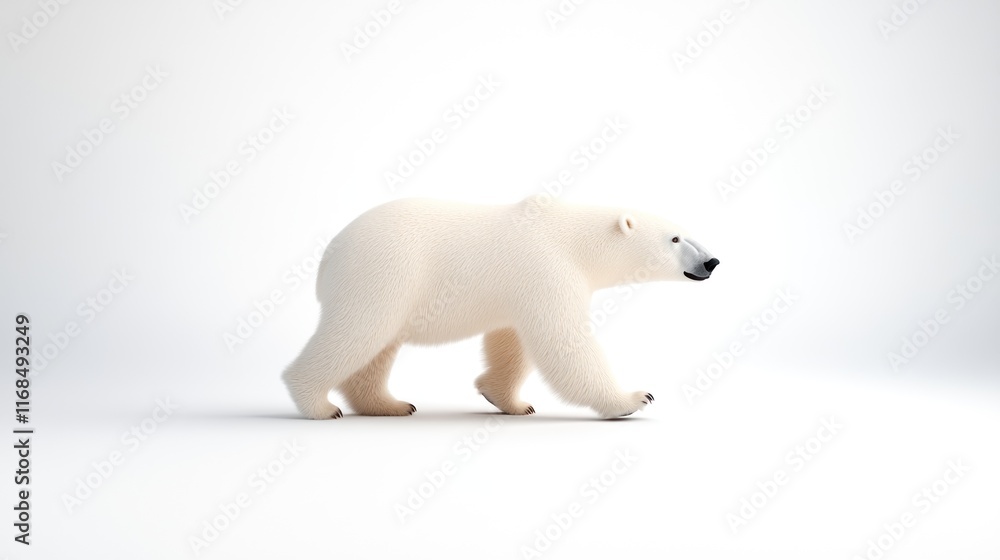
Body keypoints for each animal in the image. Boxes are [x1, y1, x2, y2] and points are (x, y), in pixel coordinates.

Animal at [282, 196, 719, 419]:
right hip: (384, 273)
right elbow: (564, 343)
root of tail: (329, 255)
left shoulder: (519, 289)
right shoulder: (547, 269)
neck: (576, 237)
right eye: (675, 239)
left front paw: (510, 401)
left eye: (687, 233)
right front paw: (632, 399)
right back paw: (319, 405)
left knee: (376, 348)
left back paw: (390, 404)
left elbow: (512, 343)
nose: (712, 262)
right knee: (356, 333)